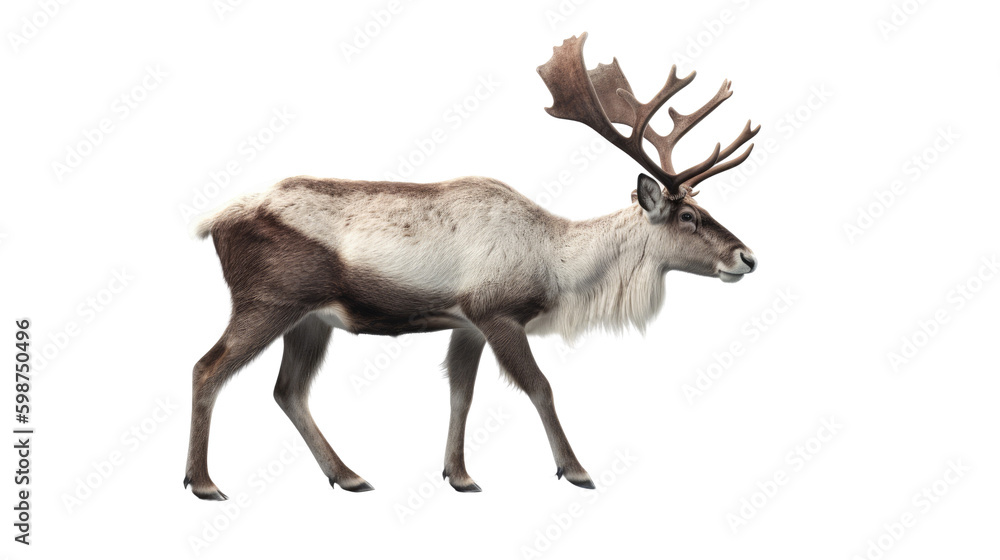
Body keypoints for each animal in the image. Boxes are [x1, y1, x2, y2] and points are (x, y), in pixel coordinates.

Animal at [184, 32, 759, 500]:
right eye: (688, 216)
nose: (747, 257)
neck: (558, 267)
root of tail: (213, 222)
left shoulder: (466, 325)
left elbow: (461, 394)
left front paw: (459, 476)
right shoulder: (496, 312)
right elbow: (541, 387)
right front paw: (575, 470)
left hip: (310, 319)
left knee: (288, 390)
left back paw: (348, 475)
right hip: (269, 301)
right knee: (207, 368)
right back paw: (204, 482)